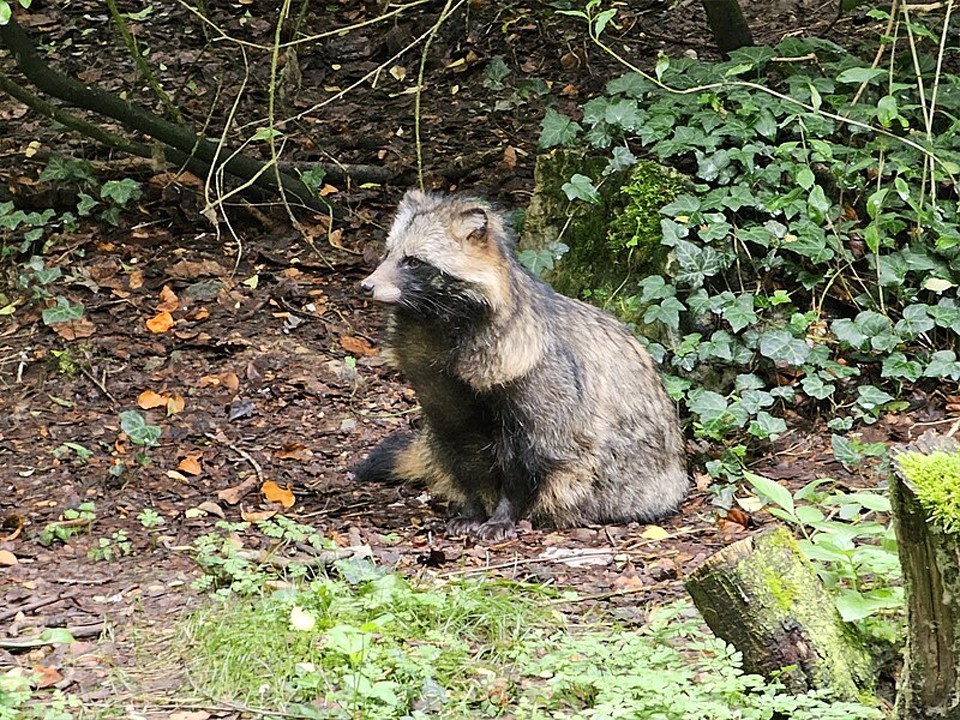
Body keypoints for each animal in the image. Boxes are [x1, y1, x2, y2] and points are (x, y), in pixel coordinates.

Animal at [356, 190, 688, 540]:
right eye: (388, 254)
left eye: (413, 261)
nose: (366, 285)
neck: (434, 321)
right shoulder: (441, 388)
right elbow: (462, 450)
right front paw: (472, 508)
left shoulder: (532, 385)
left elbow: (525, 461)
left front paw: (504, 513)